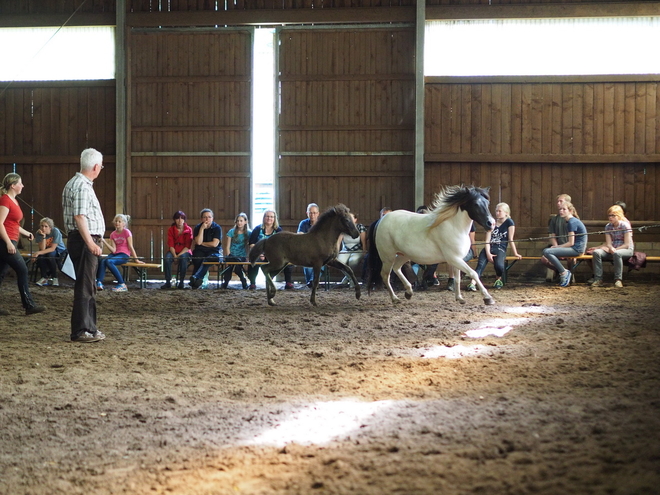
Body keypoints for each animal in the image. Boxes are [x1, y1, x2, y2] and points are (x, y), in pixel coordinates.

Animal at [366, 185, 496, 304]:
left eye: (487, 203)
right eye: (475, 204)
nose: (491, 224)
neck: (454, 227)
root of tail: (381, 220)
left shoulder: (457, 259)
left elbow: (458, 279)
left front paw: (459, 298)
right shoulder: (454, 259)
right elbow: (473, 273)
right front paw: (488, 298)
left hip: (404, 255)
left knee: (397, 268)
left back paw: (409, 292)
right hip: (388, 257)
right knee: (385, 275)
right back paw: (395, 298)